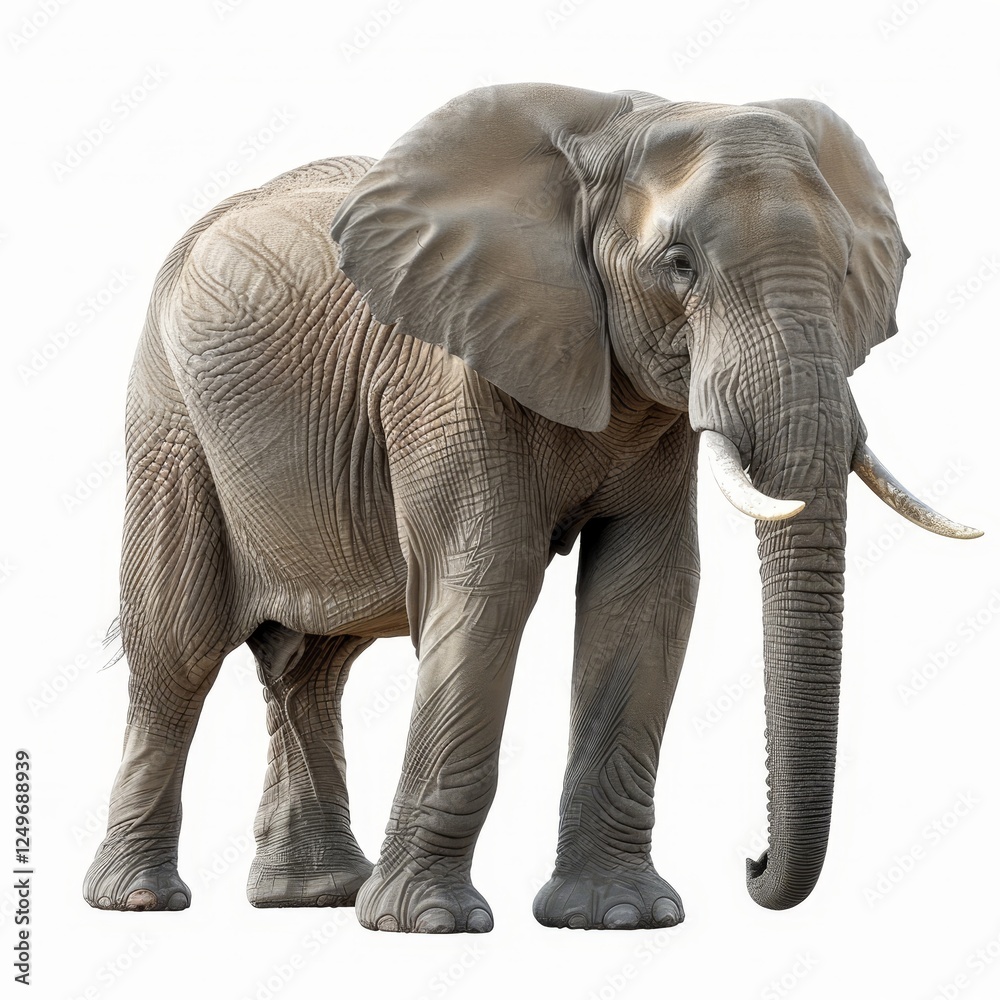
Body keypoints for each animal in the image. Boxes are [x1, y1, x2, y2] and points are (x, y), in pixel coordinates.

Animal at [83, 82, 981, 932]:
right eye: (680, 264)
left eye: (847, 269)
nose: (752, 862)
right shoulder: (448, 375)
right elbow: (488, 582)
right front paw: (430, 925)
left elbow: (647, 595)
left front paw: (619, 916)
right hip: (169, 420)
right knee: (179, 647)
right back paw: (141, 901)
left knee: (311, 664)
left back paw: (315, 897)